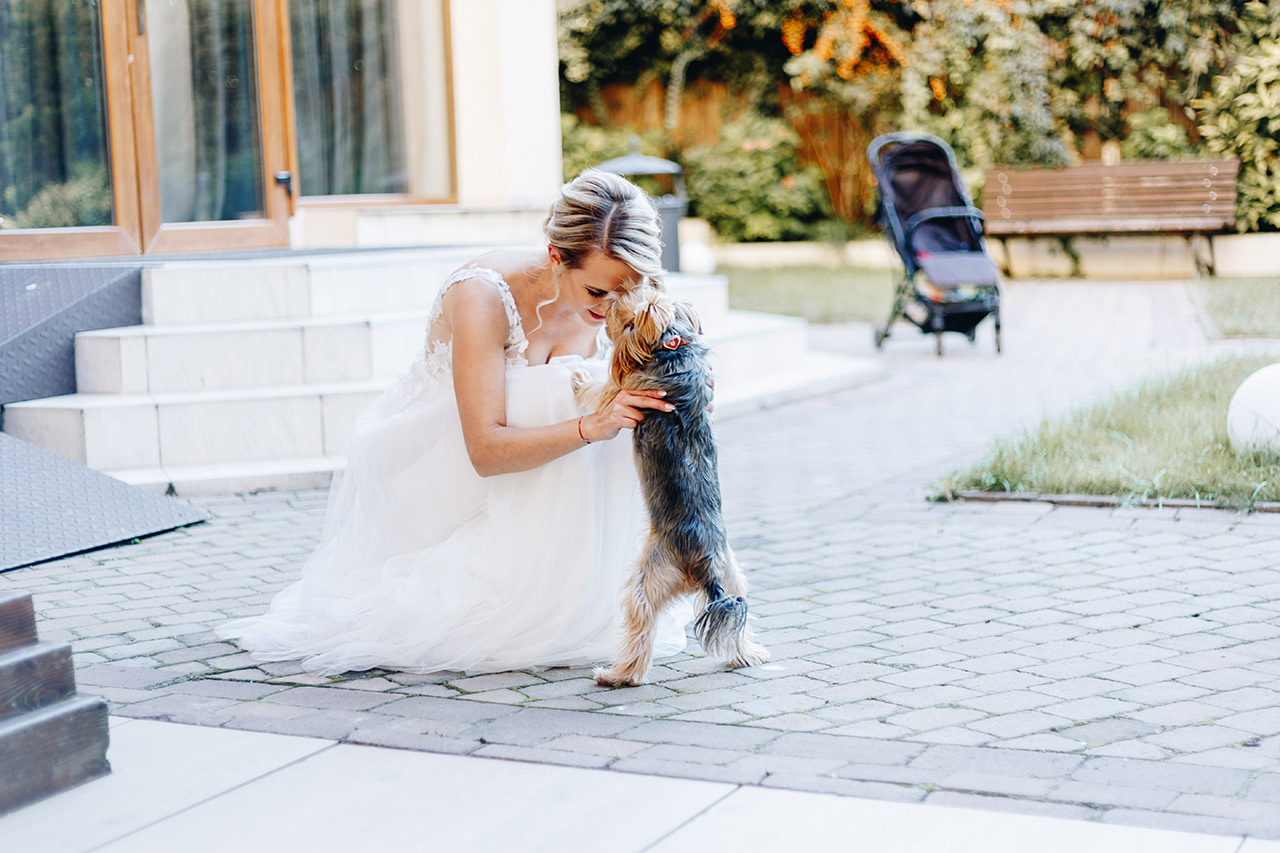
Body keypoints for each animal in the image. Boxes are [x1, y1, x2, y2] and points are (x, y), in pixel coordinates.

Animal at [575, 286, 768, 686]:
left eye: (624, 318)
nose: (609, 301)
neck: (673, 346)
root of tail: (706, 568)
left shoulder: (624, 392)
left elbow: (601, 388)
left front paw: (578, 376)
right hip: (734, 575)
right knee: (738, 618)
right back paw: (748, 655)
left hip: (650, 577)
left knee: (639, 626)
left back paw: (617, 675)